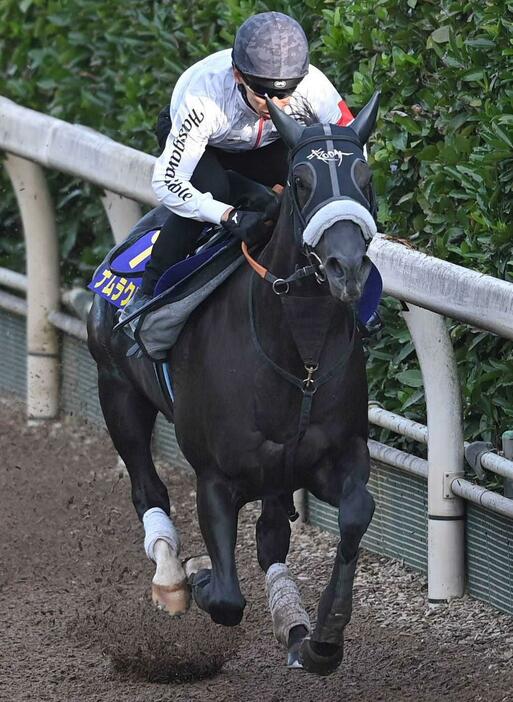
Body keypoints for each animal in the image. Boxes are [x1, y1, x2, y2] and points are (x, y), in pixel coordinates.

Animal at [86, 91, 378, 680]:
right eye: (301, 180)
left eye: (365, 176)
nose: (346, 268)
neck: (298, 356)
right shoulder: (216, 477)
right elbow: (223, 598)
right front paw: (197, 573)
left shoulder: (331, 456)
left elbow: (356, 513)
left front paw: (322, 637)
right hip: (117, 391)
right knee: (147, 487)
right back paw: (171, 577)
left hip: (275, 472)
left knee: (271, 537)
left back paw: (292, 624)